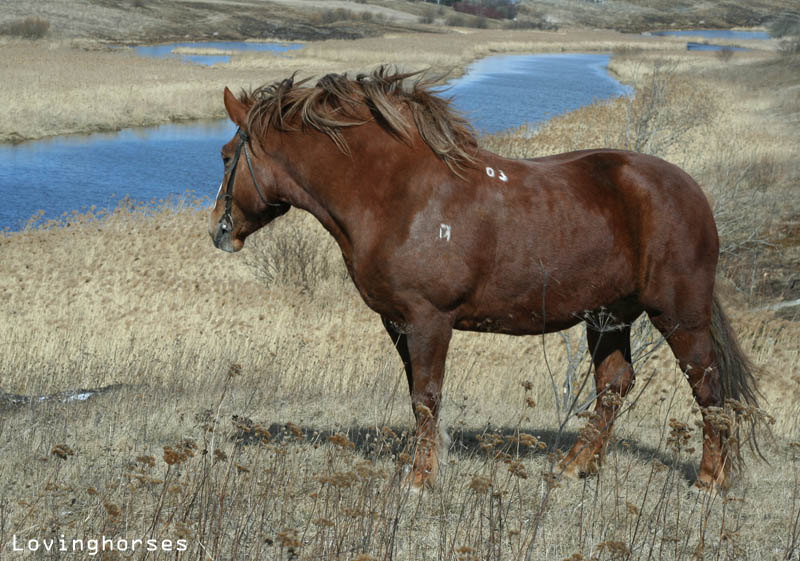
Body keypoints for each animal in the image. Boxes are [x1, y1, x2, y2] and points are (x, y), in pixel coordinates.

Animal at [209, 69, 760, 490]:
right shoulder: (399, 323)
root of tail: (690, 191)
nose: (219, 231)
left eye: (226, 154)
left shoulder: (428, 319)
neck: (401, 196)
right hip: (608, 316)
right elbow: (418, 396)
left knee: (707, 386)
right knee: (614, 385)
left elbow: (426, 397)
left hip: (679, 314)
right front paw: (426, 467)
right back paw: (573, 468)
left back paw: (708, 479)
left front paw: (420, 480)